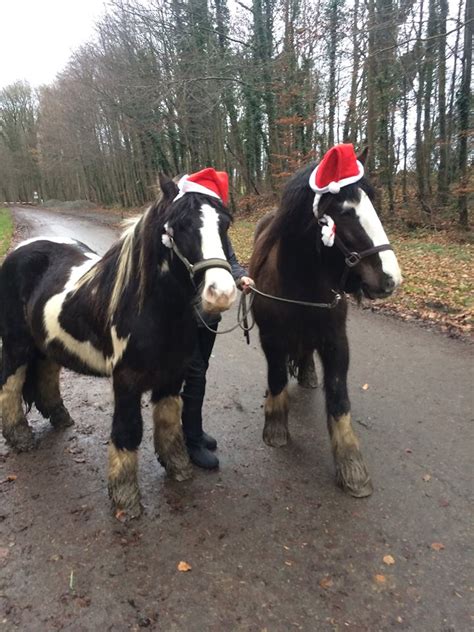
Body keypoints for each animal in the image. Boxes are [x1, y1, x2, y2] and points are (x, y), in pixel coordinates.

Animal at [0, 169, 237, 520]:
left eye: (225, 223)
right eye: (179, 225)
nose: (221, 293)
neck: (149, 308)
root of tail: (20, 251)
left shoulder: (171, 375)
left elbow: (169, 422)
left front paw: (179, 467)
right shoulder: (126, 380)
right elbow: (128, 432)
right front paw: (126, 499)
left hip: (47, 342)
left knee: (46, 373)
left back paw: (59, 416)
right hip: (17, 344)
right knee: (11, 384)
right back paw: (20, 436)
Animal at [250, 144, 402, 498]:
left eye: (373, 203)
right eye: (345, 212)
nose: (390, 279)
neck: (300, 282)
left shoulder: (336, 341)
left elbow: (338, 396)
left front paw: (351, 465)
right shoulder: (271, 338)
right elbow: (276, 377)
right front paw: (275, 427)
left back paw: (307, 373)